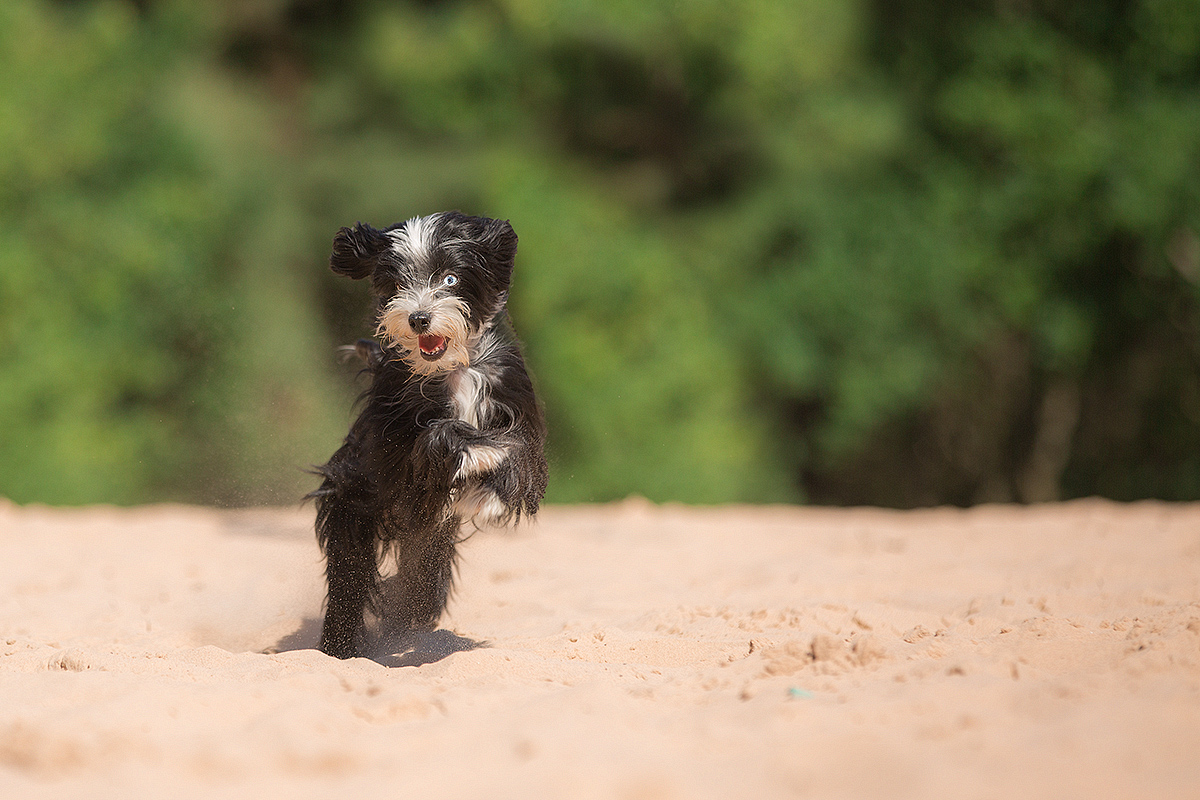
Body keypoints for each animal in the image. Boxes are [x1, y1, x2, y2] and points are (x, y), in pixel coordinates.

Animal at [312, 209, 549, 662]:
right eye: (397, 282)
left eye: (451, 278)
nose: (418, 318)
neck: (454, 370)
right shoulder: (393, 449)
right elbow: (436, 438)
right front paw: (477, 454)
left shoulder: (517, 410)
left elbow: (518, 456)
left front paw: (488, 492)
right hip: (354, 504)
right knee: (350, 577)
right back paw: (339, 646)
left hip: (428, 543)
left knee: (419, 584)